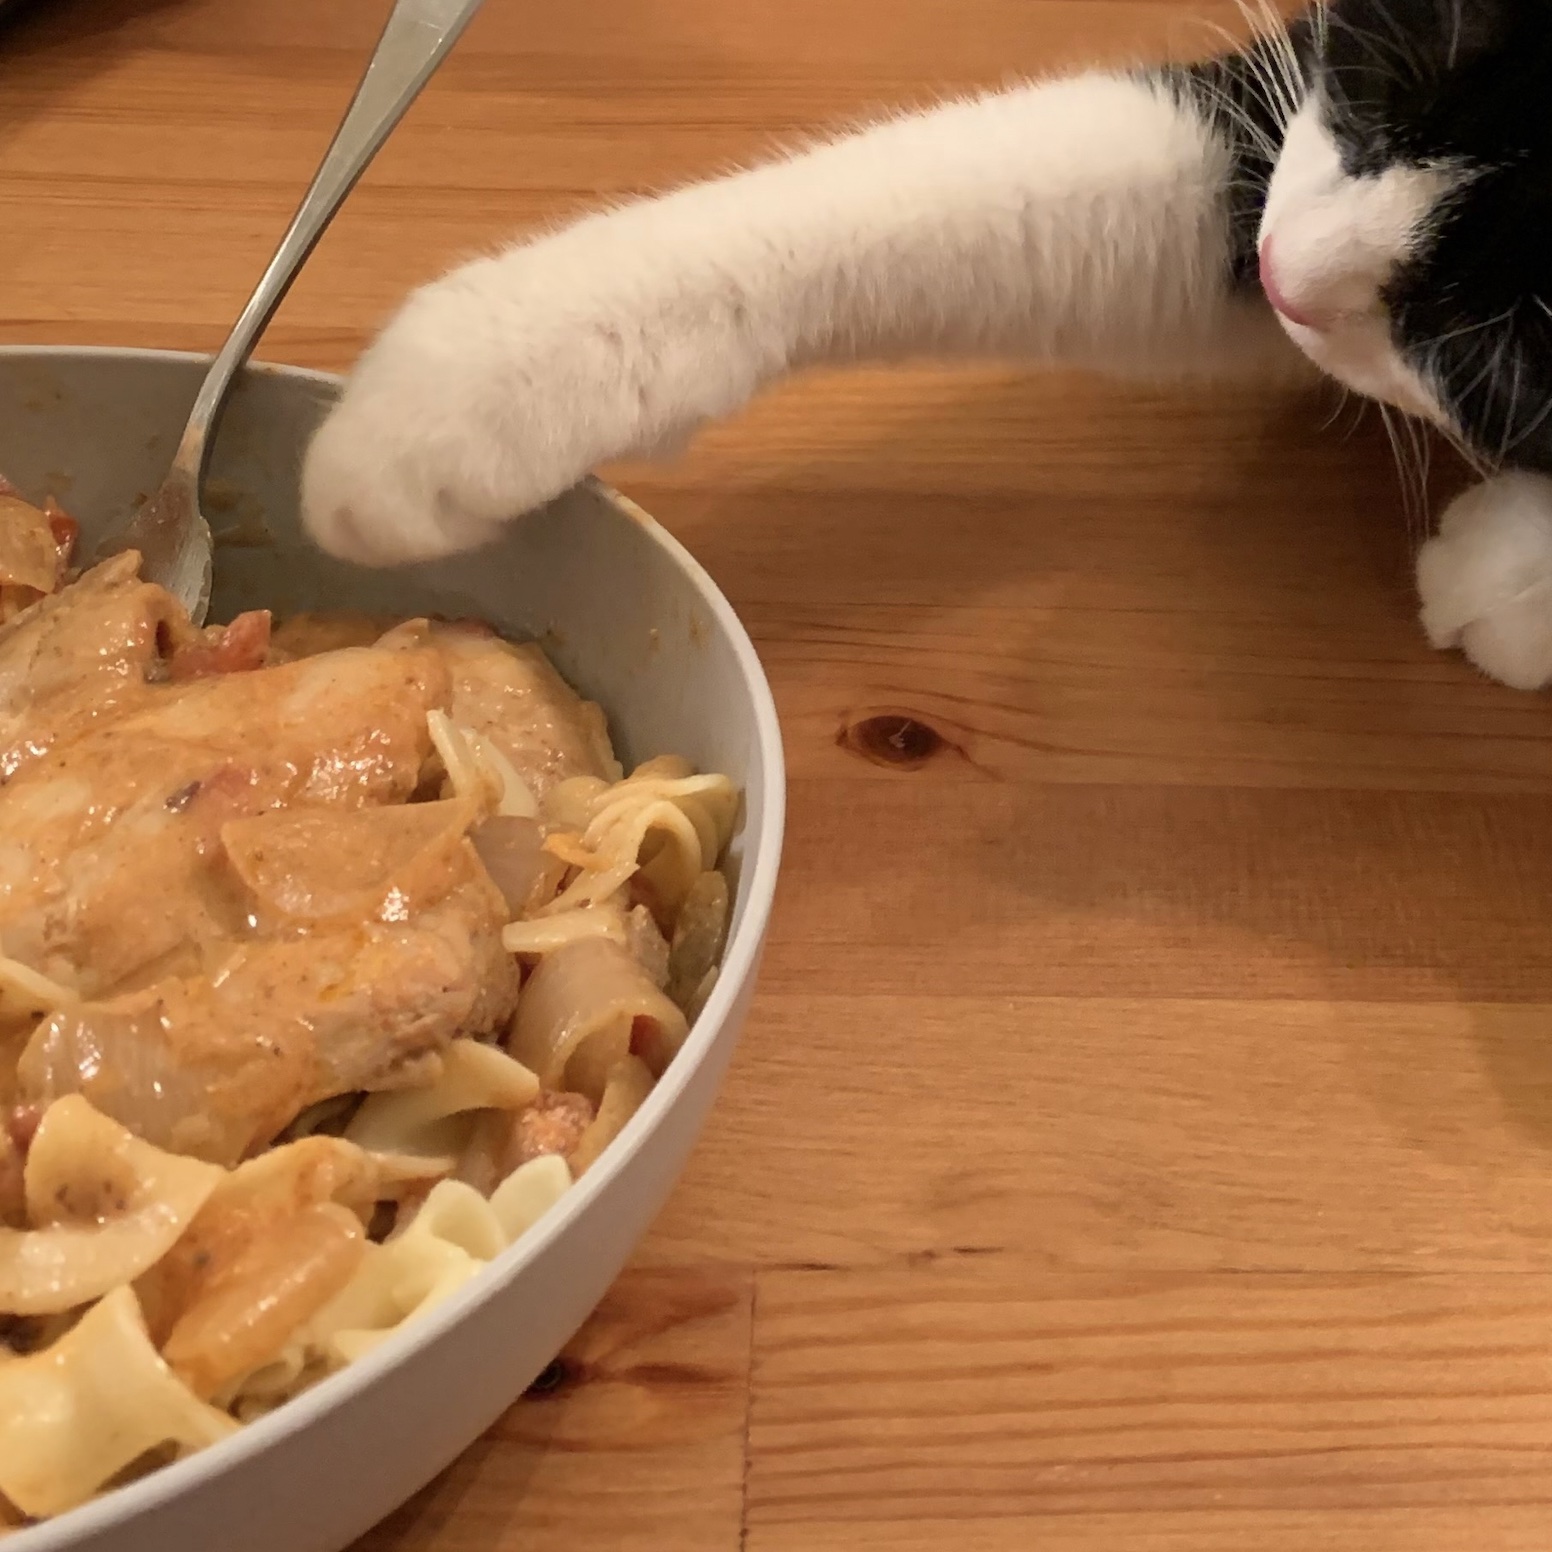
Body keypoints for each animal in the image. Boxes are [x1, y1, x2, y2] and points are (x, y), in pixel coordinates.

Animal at [296, 0, 1552, 692]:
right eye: (1377, 81)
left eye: (1489, 354)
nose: (1285, 276)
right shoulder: (1275, 145)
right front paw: (461, 386)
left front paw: (1518, 568)